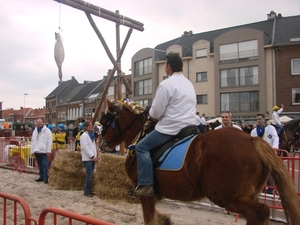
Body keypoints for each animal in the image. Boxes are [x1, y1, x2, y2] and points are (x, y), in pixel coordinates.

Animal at [100, 100, 300, 225]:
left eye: (104, 120)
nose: (102, 144)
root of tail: (252, 139)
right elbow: (158, 217)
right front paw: (166, 219)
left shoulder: (145, 194)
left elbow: (150, 219)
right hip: (246, 195)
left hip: (226, 196)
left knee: (260, 212)